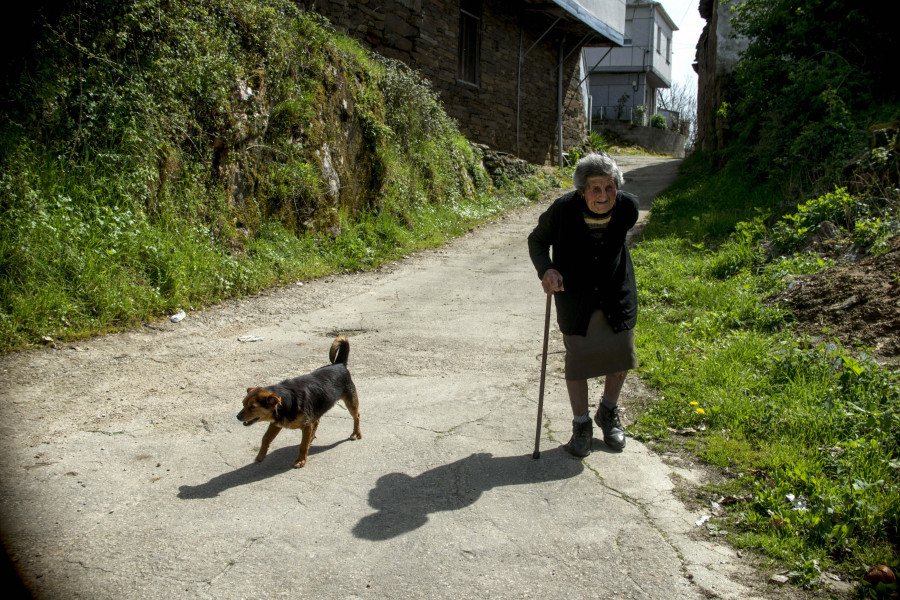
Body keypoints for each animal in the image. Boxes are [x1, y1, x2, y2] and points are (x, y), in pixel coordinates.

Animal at [237, 332, 360, 468]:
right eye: (243, 404)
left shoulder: (306, 425)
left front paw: (301, 460)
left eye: (253, 407)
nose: (237, 417)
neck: (283, 403)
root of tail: (339, 364)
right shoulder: (276, 424)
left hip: (350, 401)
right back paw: (312, 437)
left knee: (357, 416)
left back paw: (356, 433)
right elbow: (265, 438)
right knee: (317, 421)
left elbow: (302, 445)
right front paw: (260, 456)